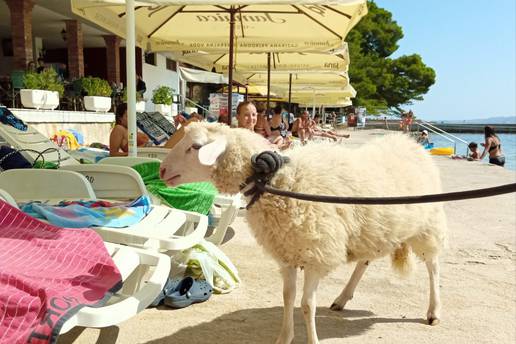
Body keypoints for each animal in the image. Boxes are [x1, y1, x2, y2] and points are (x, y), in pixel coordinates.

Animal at [160, 123, 448, 344]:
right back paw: (342, 298)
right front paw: (283, 338)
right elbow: (288, 298)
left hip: (428, 225)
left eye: (195, 147)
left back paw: (434, 311)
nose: (162, 170)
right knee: (365, 261)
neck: (278, 182)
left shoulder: (317, 255)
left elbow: (307, 306)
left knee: (433, 267)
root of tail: (408, 142)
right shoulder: (287, 253)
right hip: (376, 230)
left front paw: (311, 340)